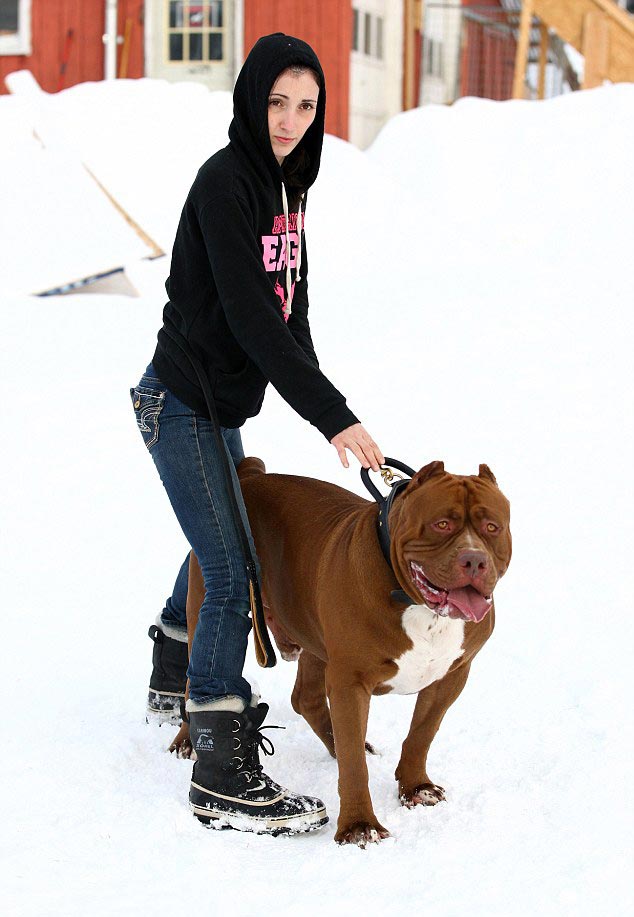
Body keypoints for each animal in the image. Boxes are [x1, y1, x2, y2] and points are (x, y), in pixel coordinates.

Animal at [172, 458, 508, 844]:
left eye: (492, 527)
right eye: (442, 524)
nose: (474, 560)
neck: (418, 605)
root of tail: (250, 475)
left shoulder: (451, 676)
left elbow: (422, 733)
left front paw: (415, 787)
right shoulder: (351, 681)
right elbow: (353, 766)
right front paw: (359, 825)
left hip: (313, 633)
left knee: (307, 698)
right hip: (210, 593)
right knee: (193, 679)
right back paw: (185, 742)